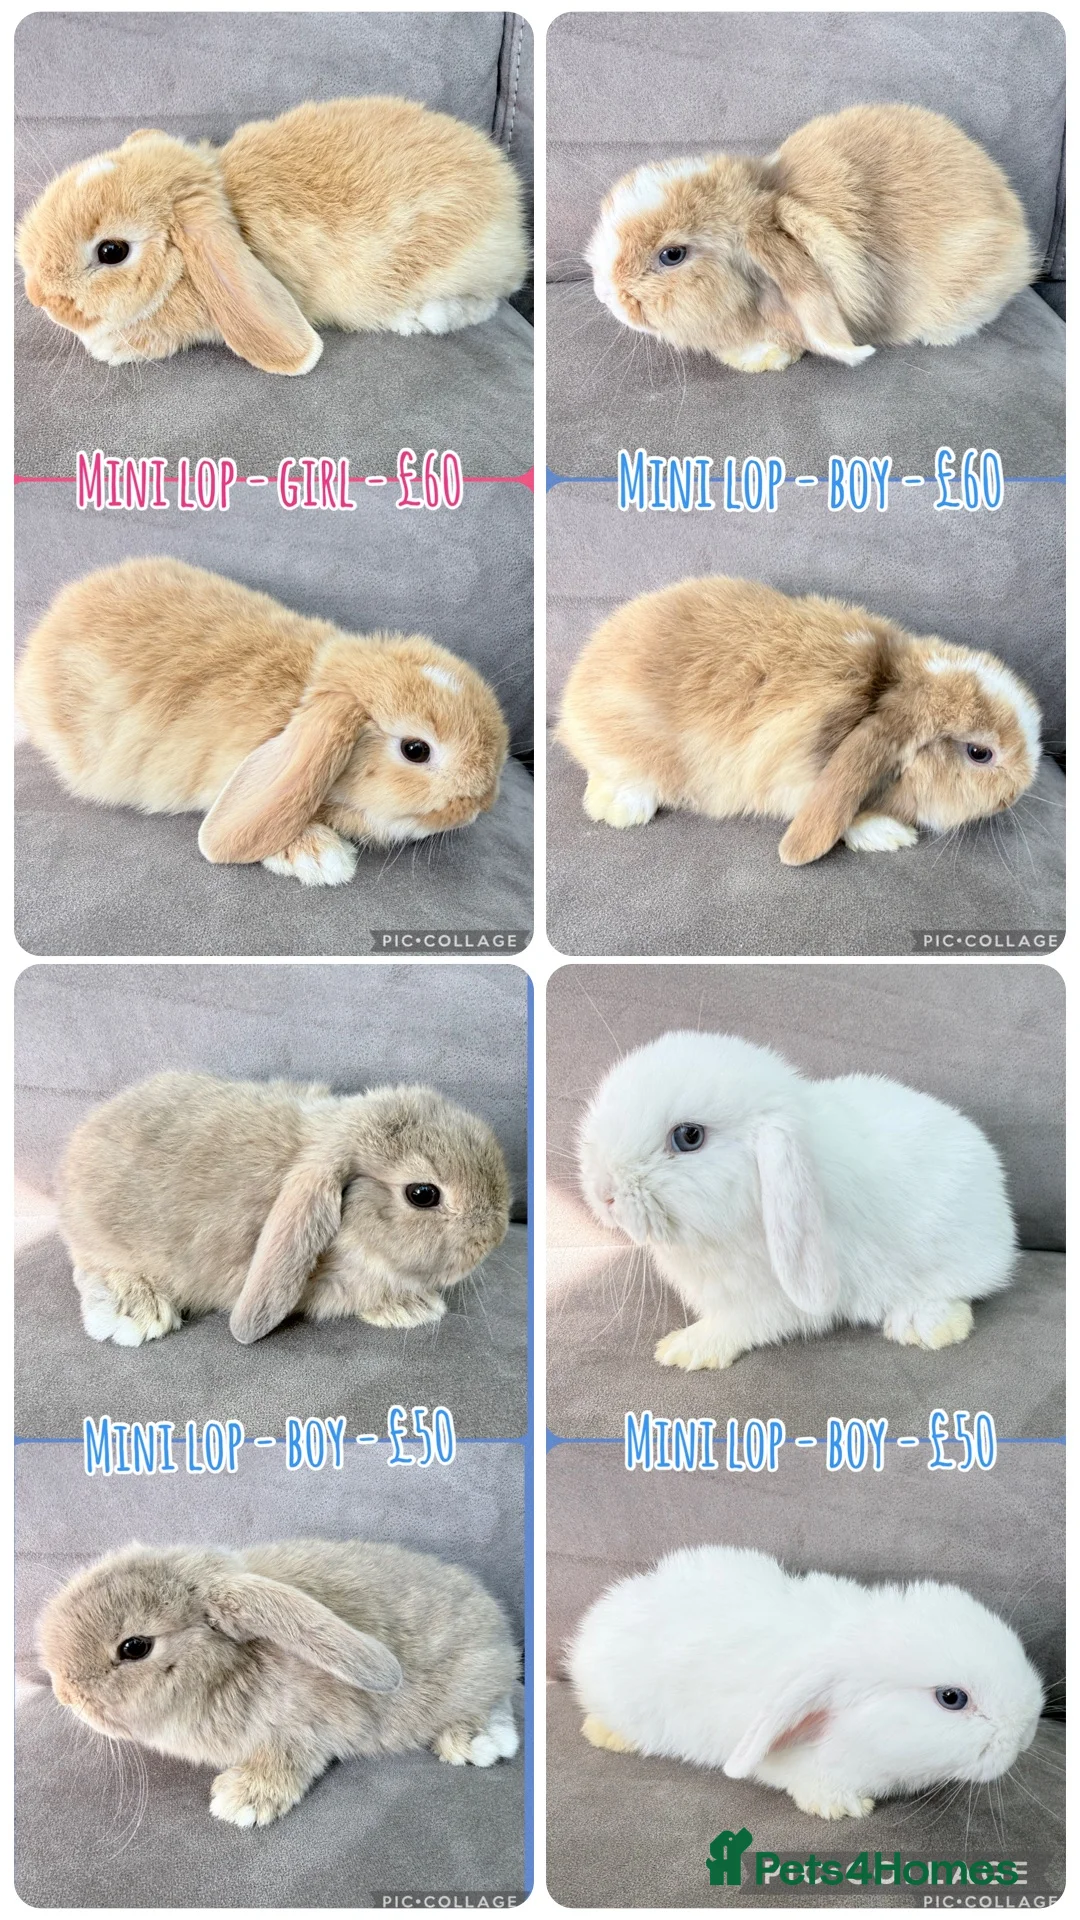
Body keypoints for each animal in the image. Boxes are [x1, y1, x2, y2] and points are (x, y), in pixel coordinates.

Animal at [17, 98, 528, 374]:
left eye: (112, 251)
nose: (37, 296)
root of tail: (511, 208)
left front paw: (105, 348)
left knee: (483, 304)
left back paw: (419, 318)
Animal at [37, 1537, 520, 1826]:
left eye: (134, 1647)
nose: (64, 1694)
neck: (223, 1670)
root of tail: (499, 1628)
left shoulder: (300, 1731)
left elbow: (286, 1760)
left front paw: (240, 1802)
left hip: (472, 1677)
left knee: (499, 1699)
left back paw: (474, 1741)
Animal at [558, 574, 1041, 864]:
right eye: (979, 753)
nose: (1016, 795)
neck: (886, 686)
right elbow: (844, 814)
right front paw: (888, 833)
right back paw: (622, 810)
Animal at [577, 1030, 1017, 1372]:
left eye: (689, 1136)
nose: (603, 1193)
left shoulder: (771, 1298)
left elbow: (740, 1323)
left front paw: (685, 1348)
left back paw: (924, 1325)